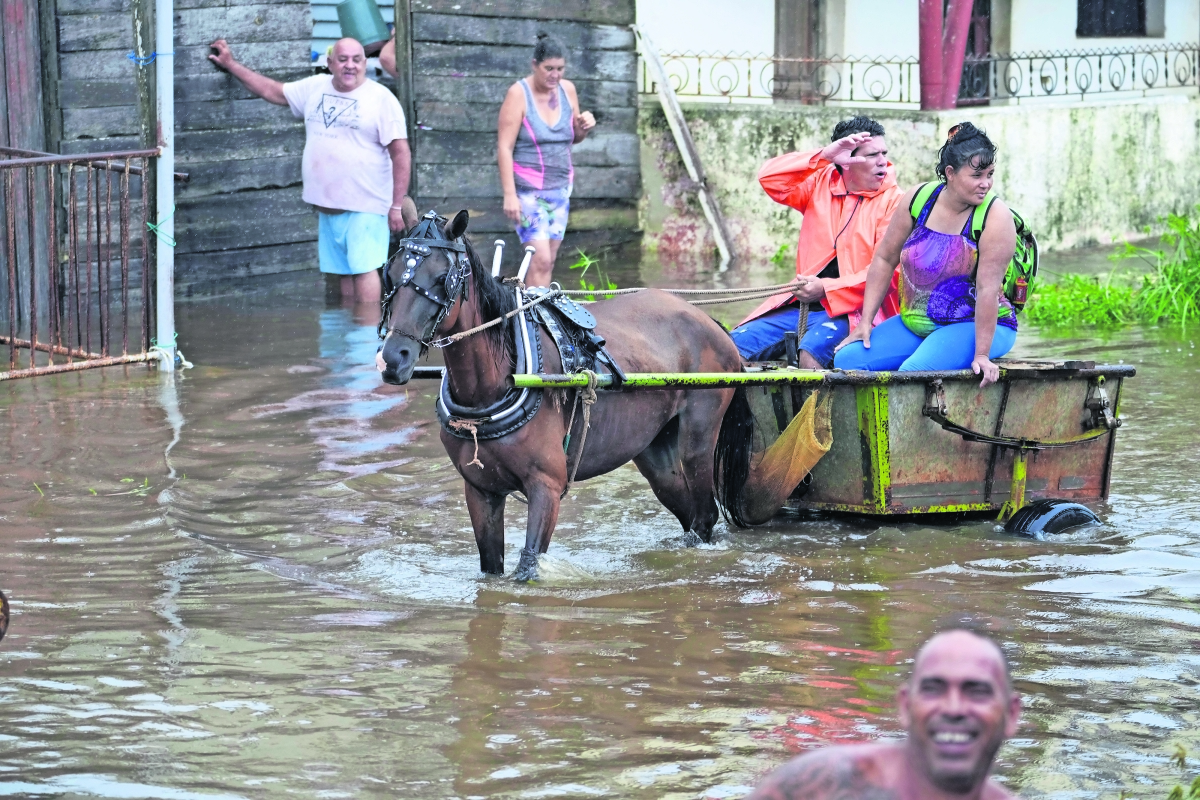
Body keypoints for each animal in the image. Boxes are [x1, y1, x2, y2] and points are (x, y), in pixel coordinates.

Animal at [379, 209, 758, 578]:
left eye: (443, 277)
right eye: (390, 274)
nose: (393, 358)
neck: (498, 384)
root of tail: (710, 323)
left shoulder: (546, 487)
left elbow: (528, 566)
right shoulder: (480, 490)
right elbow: (491, 568)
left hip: (698, 438)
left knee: (705, 515)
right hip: (655, 449)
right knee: (685, 509)